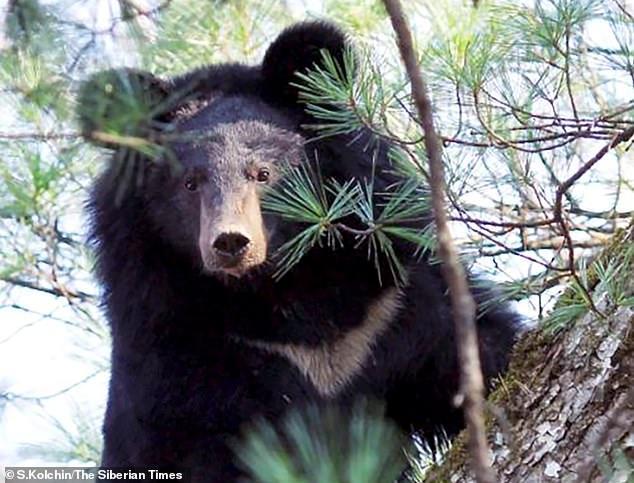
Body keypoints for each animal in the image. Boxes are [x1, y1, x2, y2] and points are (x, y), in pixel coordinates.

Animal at [79, 21, 520, 480]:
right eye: (189, 183)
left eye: (263, 174)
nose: (231, 243)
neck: (280, 290)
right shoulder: (175, 344)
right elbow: (190, 444)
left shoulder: (391, 304)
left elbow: (475, 349)